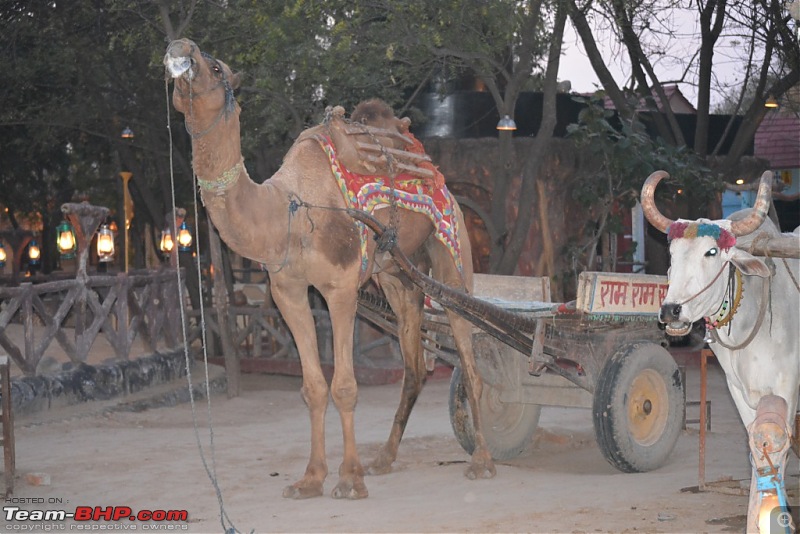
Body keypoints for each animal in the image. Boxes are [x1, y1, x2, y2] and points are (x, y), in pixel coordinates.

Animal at [164, 38, 494, 502]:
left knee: (466, 345)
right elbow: (314, 388)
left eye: (214, 67)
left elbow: (344, 386)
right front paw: (310, 478)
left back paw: (482, 460)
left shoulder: (340, 287)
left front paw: (349, 479)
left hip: (452, 245)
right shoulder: (287, 291)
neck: (289, 211)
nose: (181, 47)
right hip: (394, 273)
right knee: (414, 363)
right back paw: (384, 458)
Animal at [644, 173, 800, 534]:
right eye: (672, 254)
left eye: (712, 251)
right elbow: (756, 451)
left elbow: (777, 450)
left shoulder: (788, 389)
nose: (671, 311)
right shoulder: (739, 391)